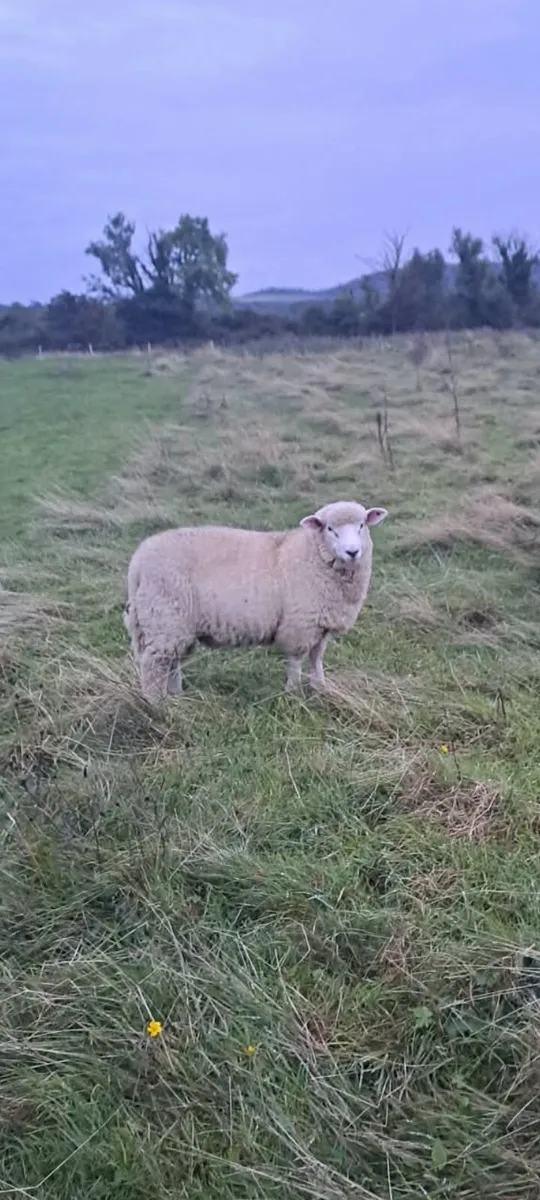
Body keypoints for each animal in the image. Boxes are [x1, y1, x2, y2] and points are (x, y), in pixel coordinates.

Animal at [123, 499, 388, 703]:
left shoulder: (320, 625)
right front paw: (292, 693)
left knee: (172, 661)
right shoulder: (299, 625)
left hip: (174, 624)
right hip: (165, 616)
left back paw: (176, 695)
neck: (312, 554)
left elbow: (316, 660)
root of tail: (137, 562)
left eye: (362, 525)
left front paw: (319, 689)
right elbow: (295, 662)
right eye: (330, 529)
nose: (352, 552)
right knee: (154, 664)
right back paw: (156, 704)